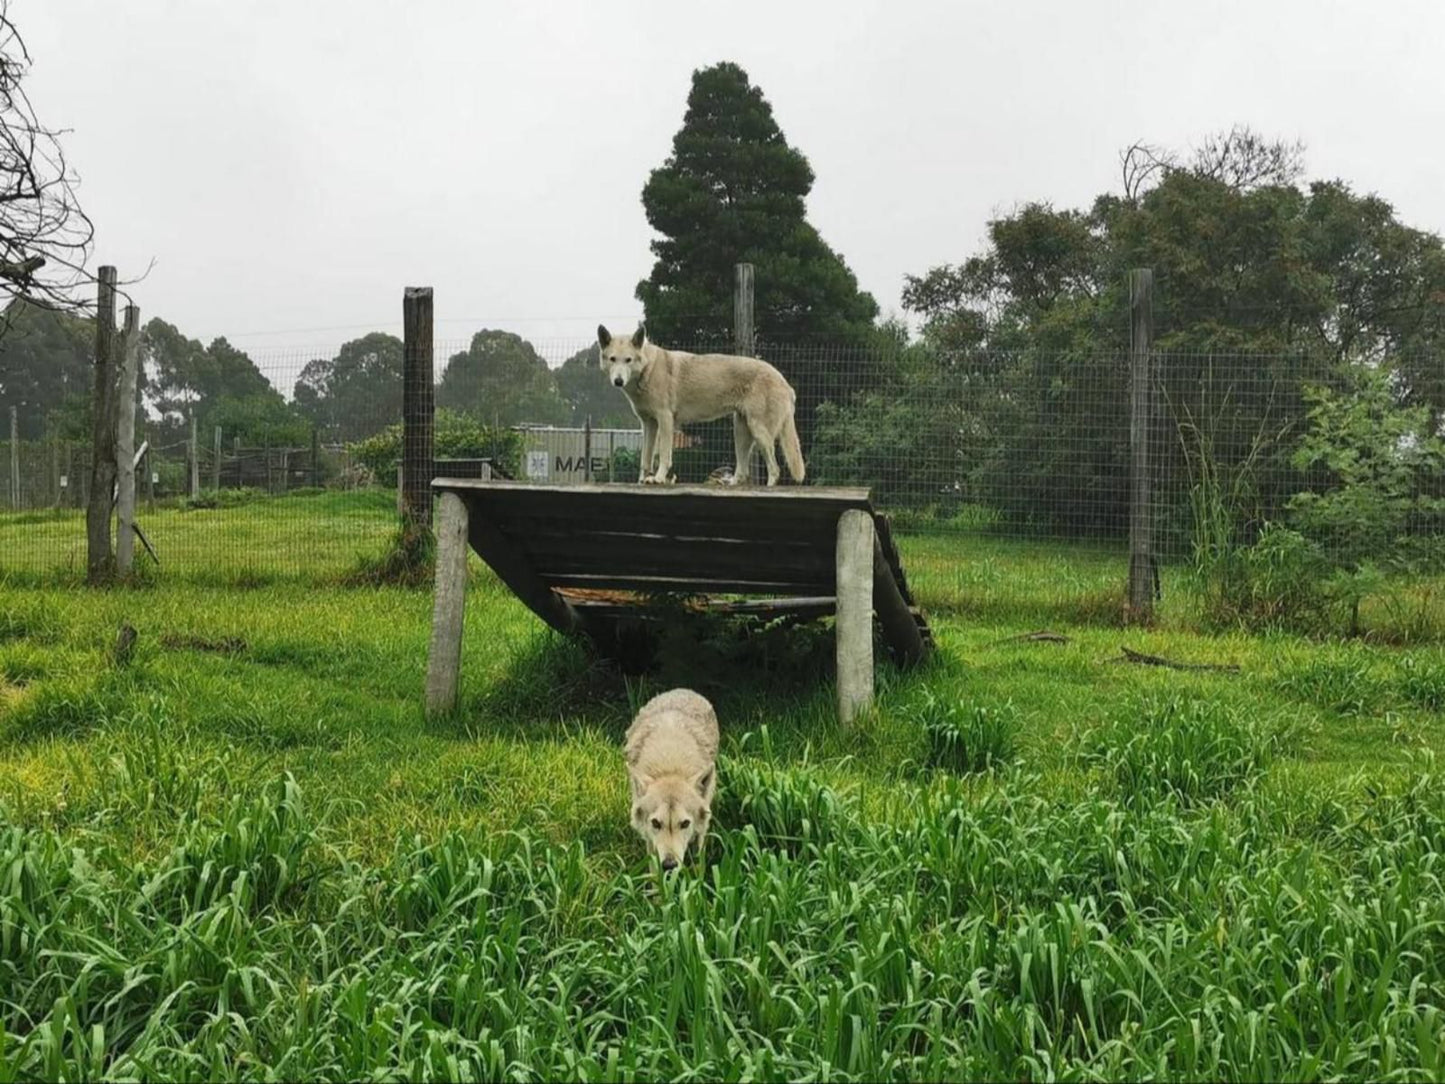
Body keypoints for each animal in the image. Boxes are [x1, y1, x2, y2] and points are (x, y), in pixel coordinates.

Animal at [595, 322, 809, 488]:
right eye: (613, 359)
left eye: (628, 360)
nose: (618, 381)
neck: (648, 370)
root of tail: (785, 382)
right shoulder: (648, 424)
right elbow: (645, 458)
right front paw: (642, 480)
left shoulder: (665, 420)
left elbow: (664, 455)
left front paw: (658, 479)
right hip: (741, 431)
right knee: (743, 471)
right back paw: (729, 484)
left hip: (760, 433)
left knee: (775, 469)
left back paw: (768, 488)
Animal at [627, 687, 722, 872]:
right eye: (656, 823)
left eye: (685, 823)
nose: (669, 865)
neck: (670, 766)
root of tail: (682, 689)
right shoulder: (650, 841)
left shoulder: (702, 830)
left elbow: (698, 862)